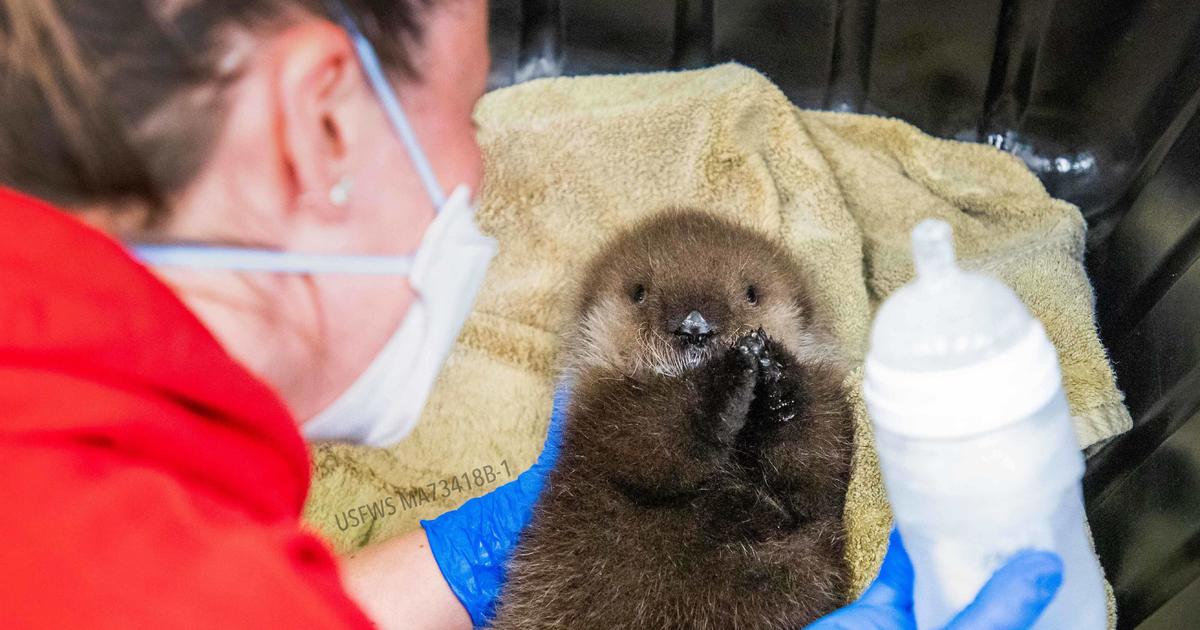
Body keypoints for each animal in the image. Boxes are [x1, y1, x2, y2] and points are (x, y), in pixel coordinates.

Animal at [491, 209, 855, 630]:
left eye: (751, 292)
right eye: (639, 291)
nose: (695, 327)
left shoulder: (826, 417)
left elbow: (814, 476)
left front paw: (776, 374)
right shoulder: (607, 412)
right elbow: (652, 441)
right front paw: (730, 374)